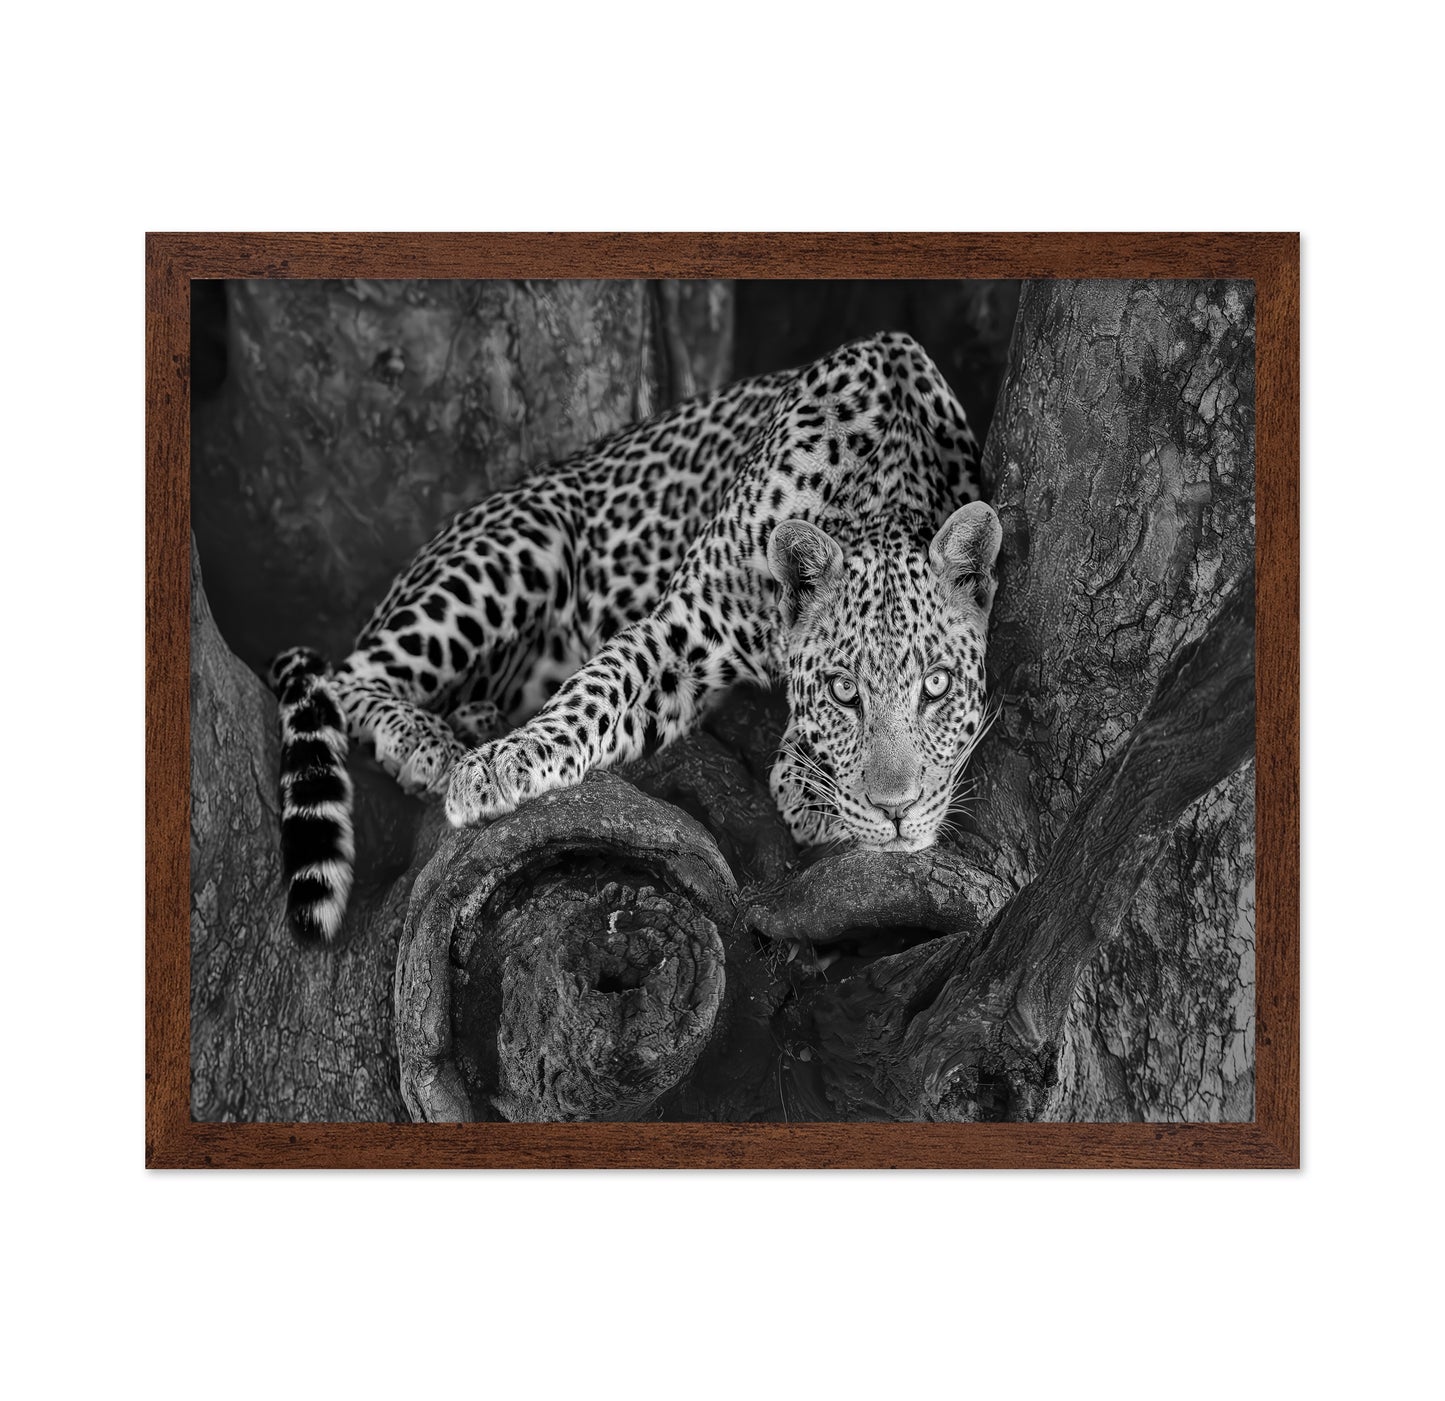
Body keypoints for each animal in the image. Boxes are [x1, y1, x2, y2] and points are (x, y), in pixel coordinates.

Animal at [269, 332, 1002, 943]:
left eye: (937, 686)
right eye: (844, 692)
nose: (897, 812)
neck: (880, 485)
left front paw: (808, 782)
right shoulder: (681, 628)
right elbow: (593, 690)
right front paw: (501, 766)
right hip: (520, 543)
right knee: (344, 677)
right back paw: (427, 744)